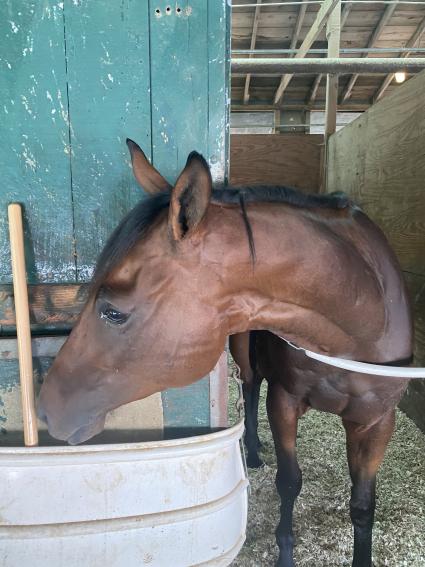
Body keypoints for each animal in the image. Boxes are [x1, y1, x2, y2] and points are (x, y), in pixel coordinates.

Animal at [39, 139, 410, 567]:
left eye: (113, 312)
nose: (45, 409)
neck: (361, 315)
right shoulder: (284, 401)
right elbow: (289, 482)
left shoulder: (377, 422)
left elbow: (363, 505)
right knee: (249, 388)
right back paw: (253, 449)